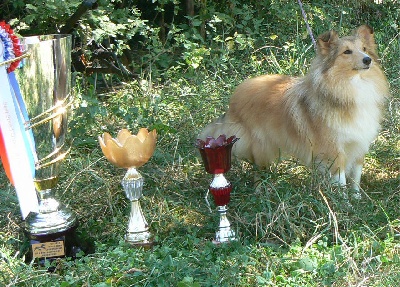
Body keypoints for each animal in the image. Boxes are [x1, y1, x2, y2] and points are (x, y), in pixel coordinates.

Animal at [202, 25, 390, 198]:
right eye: (347, 52)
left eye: (364, 49)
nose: (367, 60)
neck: (351, 86)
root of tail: (236, 95)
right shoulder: (334, 151)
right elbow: (341, 180)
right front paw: (344, 203)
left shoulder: (359, 145)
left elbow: (355, 178)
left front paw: (357, 199)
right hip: (261, 145)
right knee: (258, 170)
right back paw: (261, 191)